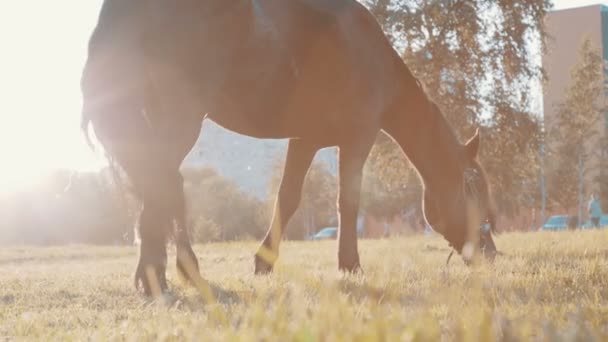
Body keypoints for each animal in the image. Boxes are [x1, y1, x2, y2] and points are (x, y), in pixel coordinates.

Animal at [81, 0, 496, 296]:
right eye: (472, 187)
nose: (490, 251)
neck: (371, 55)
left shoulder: (305, 141)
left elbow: (288, 198)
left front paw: (264, 262)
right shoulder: (358, 136)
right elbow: (348, 201)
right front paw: (350, 265)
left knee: (161, 183)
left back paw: (168, 271)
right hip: (180, 116)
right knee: (163, 183)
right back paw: (173, 271)